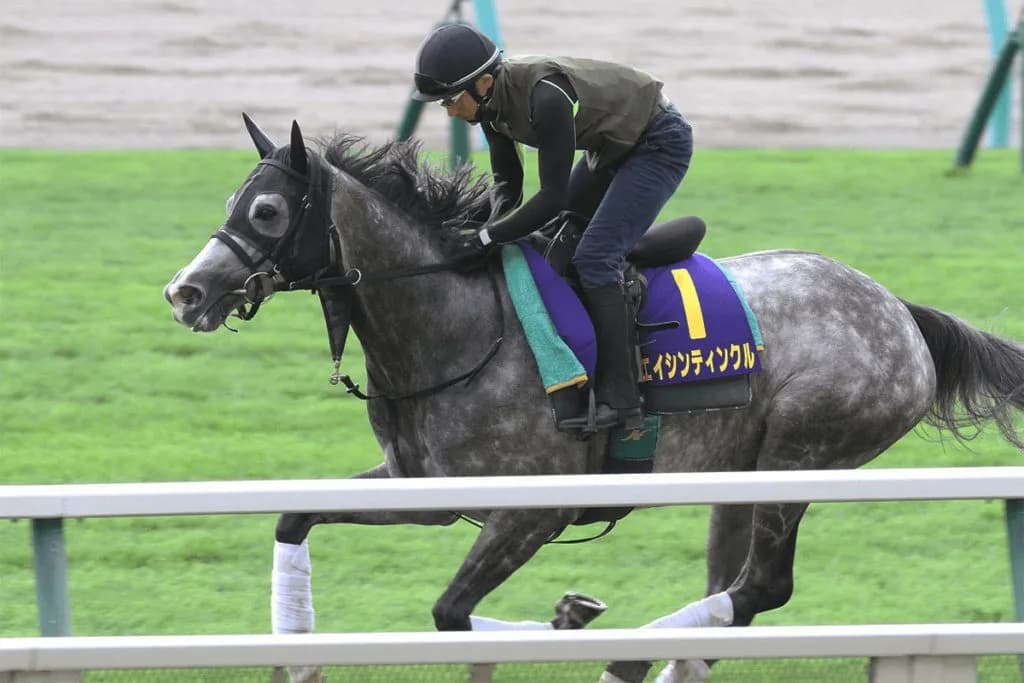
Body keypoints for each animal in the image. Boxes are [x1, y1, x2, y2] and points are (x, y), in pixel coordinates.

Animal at [164, 116, 1024, 683]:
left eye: (267, 211)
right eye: (236, 200)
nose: (185, 291)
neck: (458, 324)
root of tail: (900, 311)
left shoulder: (533, 510)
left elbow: (450, 613)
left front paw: (565, 616)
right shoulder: (425, 491)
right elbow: (294, 517)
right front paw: (298, 654)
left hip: (802, 453)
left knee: (761, 587)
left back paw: (627, 661)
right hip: (739, 474)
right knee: (735, 593)